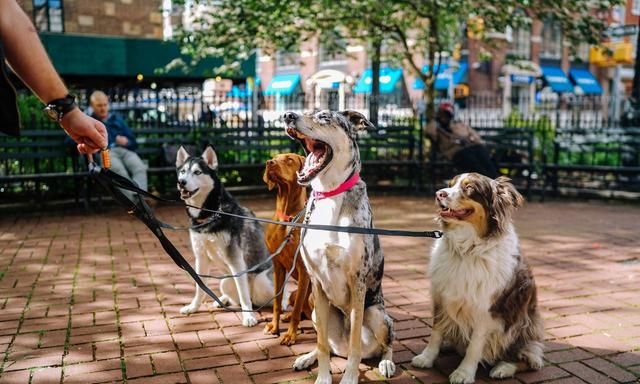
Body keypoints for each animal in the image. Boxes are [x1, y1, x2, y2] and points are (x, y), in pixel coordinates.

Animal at [176, 147, 274, 328]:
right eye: (183, 171)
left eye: (197, 172)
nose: (182, 182)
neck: (211, 214)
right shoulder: (201, 257)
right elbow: (200, 287)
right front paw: (193, 307)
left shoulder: (236, 260)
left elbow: (243, 294)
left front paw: (248, 317)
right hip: (225, 282)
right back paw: (222, 300)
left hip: (261, 281)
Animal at [262, 152, 312, 344]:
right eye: (274, 157)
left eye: (289, 159)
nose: (269, 163)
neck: (287, 218)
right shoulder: (278, 265)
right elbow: (277, 302)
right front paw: (274, 327)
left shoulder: (304, 270)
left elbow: (297, 309)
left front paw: (290, 334)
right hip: (293, 293)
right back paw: (286, 317)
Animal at [284, 110, 396, 384]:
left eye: (324, 116)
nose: (288, 115)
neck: (330, 195)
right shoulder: (316, 282)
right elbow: (323, 345)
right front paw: (323, 377)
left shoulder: (357, 282)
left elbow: (355, 345)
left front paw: (349, 378)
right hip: (315, 310)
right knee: (328, 344)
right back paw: (307, 358)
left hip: (377, 315)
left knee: (386, 344)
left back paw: (386, 363)